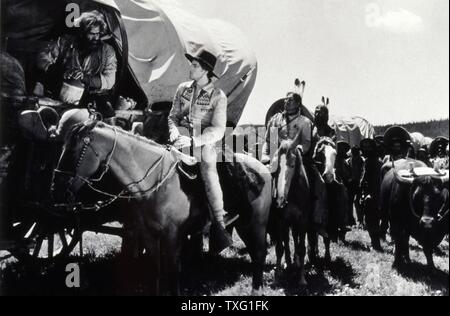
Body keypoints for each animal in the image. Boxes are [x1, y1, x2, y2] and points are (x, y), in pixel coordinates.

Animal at [52, 116, 270, 296]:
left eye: (74, 151)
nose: (56, 189)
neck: (157, 184)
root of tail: (262, 168)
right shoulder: (149, 234)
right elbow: (156, 271)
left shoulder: (172, 235)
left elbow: (173, 275)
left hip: (255, 223)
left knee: (259, 254)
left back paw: (256, 290)